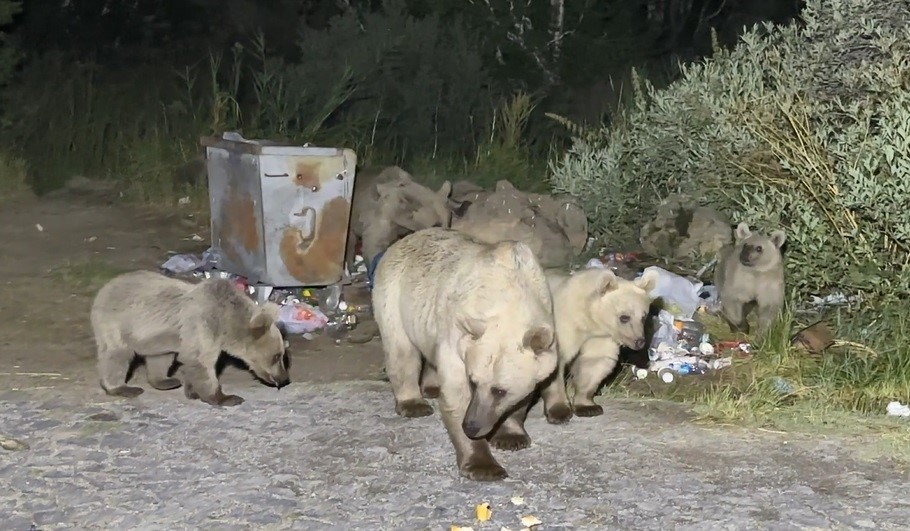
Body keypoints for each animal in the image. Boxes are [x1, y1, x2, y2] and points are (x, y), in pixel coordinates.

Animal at [91, 270, 290, 408]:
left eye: (282, 355)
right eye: (276, 356)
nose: (283, 379)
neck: (226, 323)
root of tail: (105, 287)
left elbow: (191, 361)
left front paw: (192, 391)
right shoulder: (202, 325)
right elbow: (202, 363)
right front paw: (226, 398)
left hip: (159, 337)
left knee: (160, 358)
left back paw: (166, 381)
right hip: (115, 324)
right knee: (116, 355)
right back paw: (122, 388)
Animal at [372, 228, 560, 482]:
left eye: (500, 390)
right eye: (473, 381)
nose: (472, 426)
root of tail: (404, 240)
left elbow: (523, 396)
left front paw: (511, 436)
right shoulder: (459, 336)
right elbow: (456, 395)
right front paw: (483, 465)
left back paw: (431, 387)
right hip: (394, 294)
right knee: (402, 351)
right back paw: (414, 403)